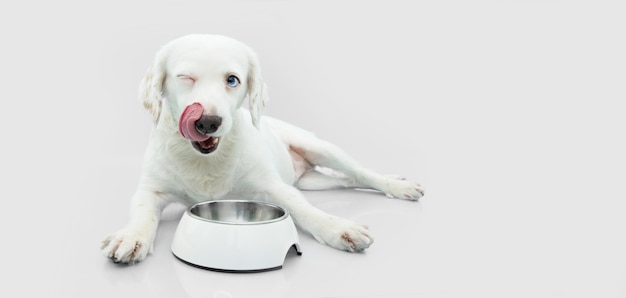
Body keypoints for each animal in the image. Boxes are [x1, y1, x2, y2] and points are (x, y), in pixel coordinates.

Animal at [101, 34, 424, 264]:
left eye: (232, 80)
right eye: (185, 78)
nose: (208, 122)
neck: (205, 161)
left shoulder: (273, 187)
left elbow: (303, 209)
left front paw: (336, 228)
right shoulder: (150, 189)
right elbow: (143, 212)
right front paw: (131, 236)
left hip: (322, 149)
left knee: (361, 172)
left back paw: (397, 185)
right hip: (315, 181)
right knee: (348, 181)